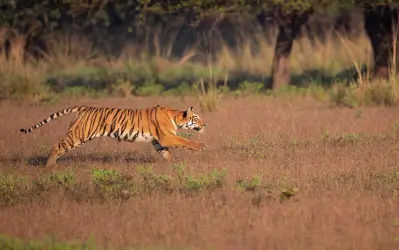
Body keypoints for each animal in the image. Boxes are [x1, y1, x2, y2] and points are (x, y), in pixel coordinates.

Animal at [19, 104, 208, 167]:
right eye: (196, 117)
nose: (205, 124)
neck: (176, 116)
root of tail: (84, 108)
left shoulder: (158, 141)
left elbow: (166, 153)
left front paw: (172, 165)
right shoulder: (167, 137)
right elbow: (185, 141)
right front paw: (201, 147)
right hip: (78, 135)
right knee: (57, 146)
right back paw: (49, 166)